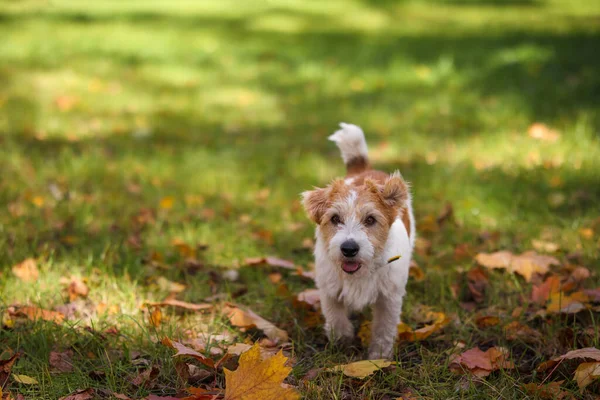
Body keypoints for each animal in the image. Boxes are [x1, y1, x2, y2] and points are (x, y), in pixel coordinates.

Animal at [302, 122, 414, 360]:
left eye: (370, 219)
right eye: (335, 219)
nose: (349, 248)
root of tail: (363, 170)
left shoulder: (389, 298)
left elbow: (383, 328)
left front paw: (379, 357)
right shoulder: (329, 291)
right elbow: (337, 320)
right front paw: (342, 346)